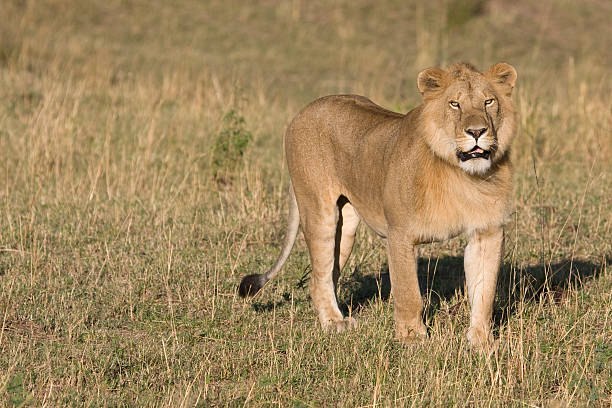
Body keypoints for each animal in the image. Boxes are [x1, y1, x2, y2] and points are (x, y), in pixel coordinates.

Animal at [239, 62, 516, 350]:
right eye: (454, 104)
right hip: (319, 211)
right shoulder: (400, 234)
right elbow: (408, 293)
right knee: (319, 277)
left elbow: (484, 292)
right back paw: (334, 323)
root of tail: (303, 110)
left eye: (488, 102)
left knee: (324, 275)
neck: (460, 175)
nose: (477, 132)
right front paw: (412, 338)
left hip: (346, 225)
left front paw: (483, 342)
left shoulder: (487, 231)